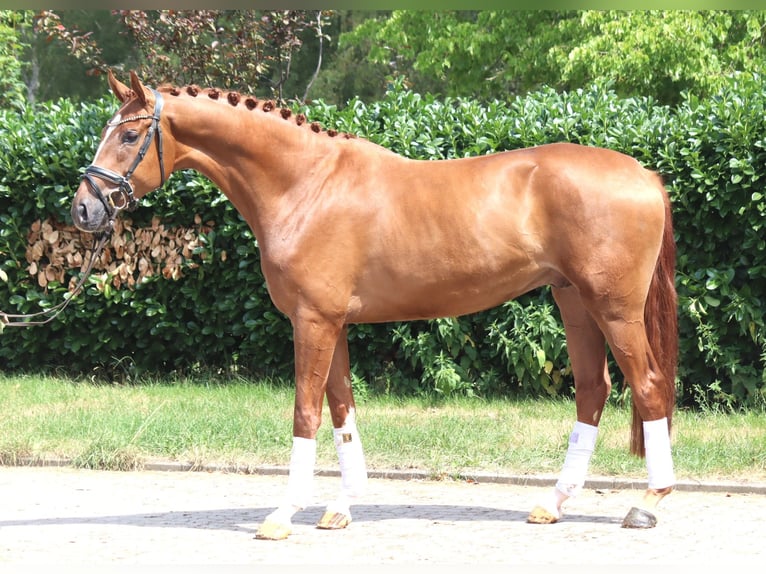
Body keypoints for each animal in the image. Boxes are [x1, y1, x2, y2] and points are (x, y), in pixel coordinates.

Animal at [71, 71, 679, 539]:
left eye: (129, 134)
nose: (83, 210)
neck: (306, 184)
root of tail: (645, 174)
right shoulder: (331, 322)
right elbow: (341, 409)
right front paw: (341, 507)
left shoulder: (313, 322)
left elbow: (306, 411)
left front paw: (283, 514)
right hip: (573, 301)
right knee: (594, 390)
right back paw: (552, 505)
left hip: (613, 308)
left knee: (647, 386)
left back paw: (649, 502)